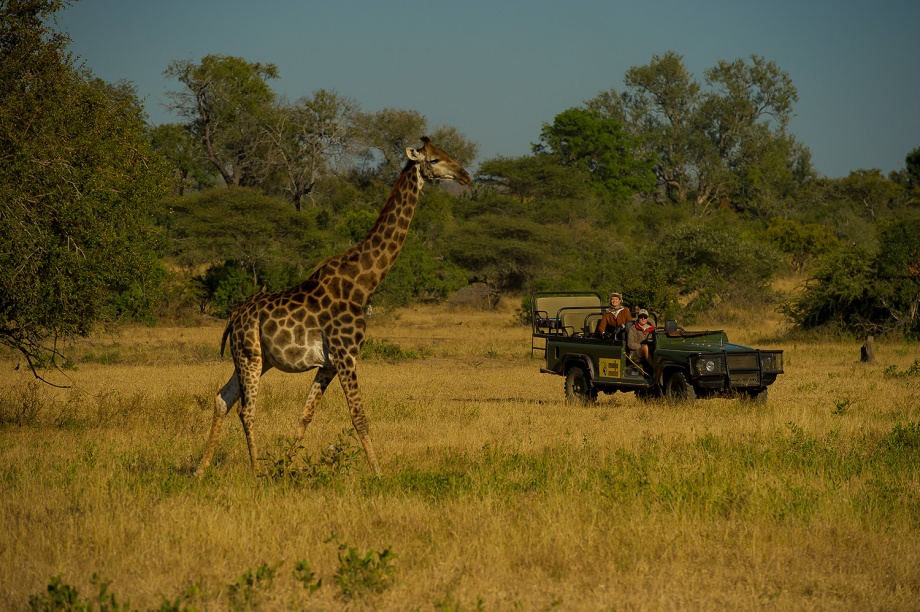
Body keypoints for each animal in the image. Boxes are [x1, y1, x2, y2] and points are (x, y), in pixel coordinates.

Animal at [193, 139, 468, 478]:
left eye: (448, 154)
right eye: (435, 159)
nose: (465, 175)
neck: (362, 282)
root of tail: (233, 318)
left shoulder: (329, 363)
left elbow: (305, 415)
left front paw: (284, 467)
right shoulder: (346, 355)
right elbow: (359, 417)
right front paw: (378, 474)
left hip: (256, 359)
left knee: (222, 398)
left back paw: (201, 469)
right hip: (250, 356)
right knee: (246, 409)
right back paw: (256, 471)